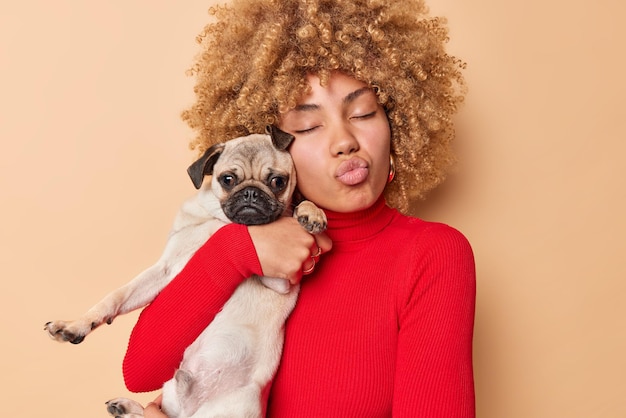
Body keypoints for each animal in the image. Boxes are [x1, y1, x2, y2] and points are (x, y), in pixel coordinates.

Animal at [44, 125, 326, 418]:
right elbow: (115, 297)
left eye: (278, 182)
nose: (250, 193)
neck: (222, 221)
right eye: (227, 179)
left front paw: (311, 212)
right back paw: (127, 407)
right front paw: (76, 324)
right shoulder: (165, 270)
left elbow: (294, 209)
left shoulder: (278, 280)